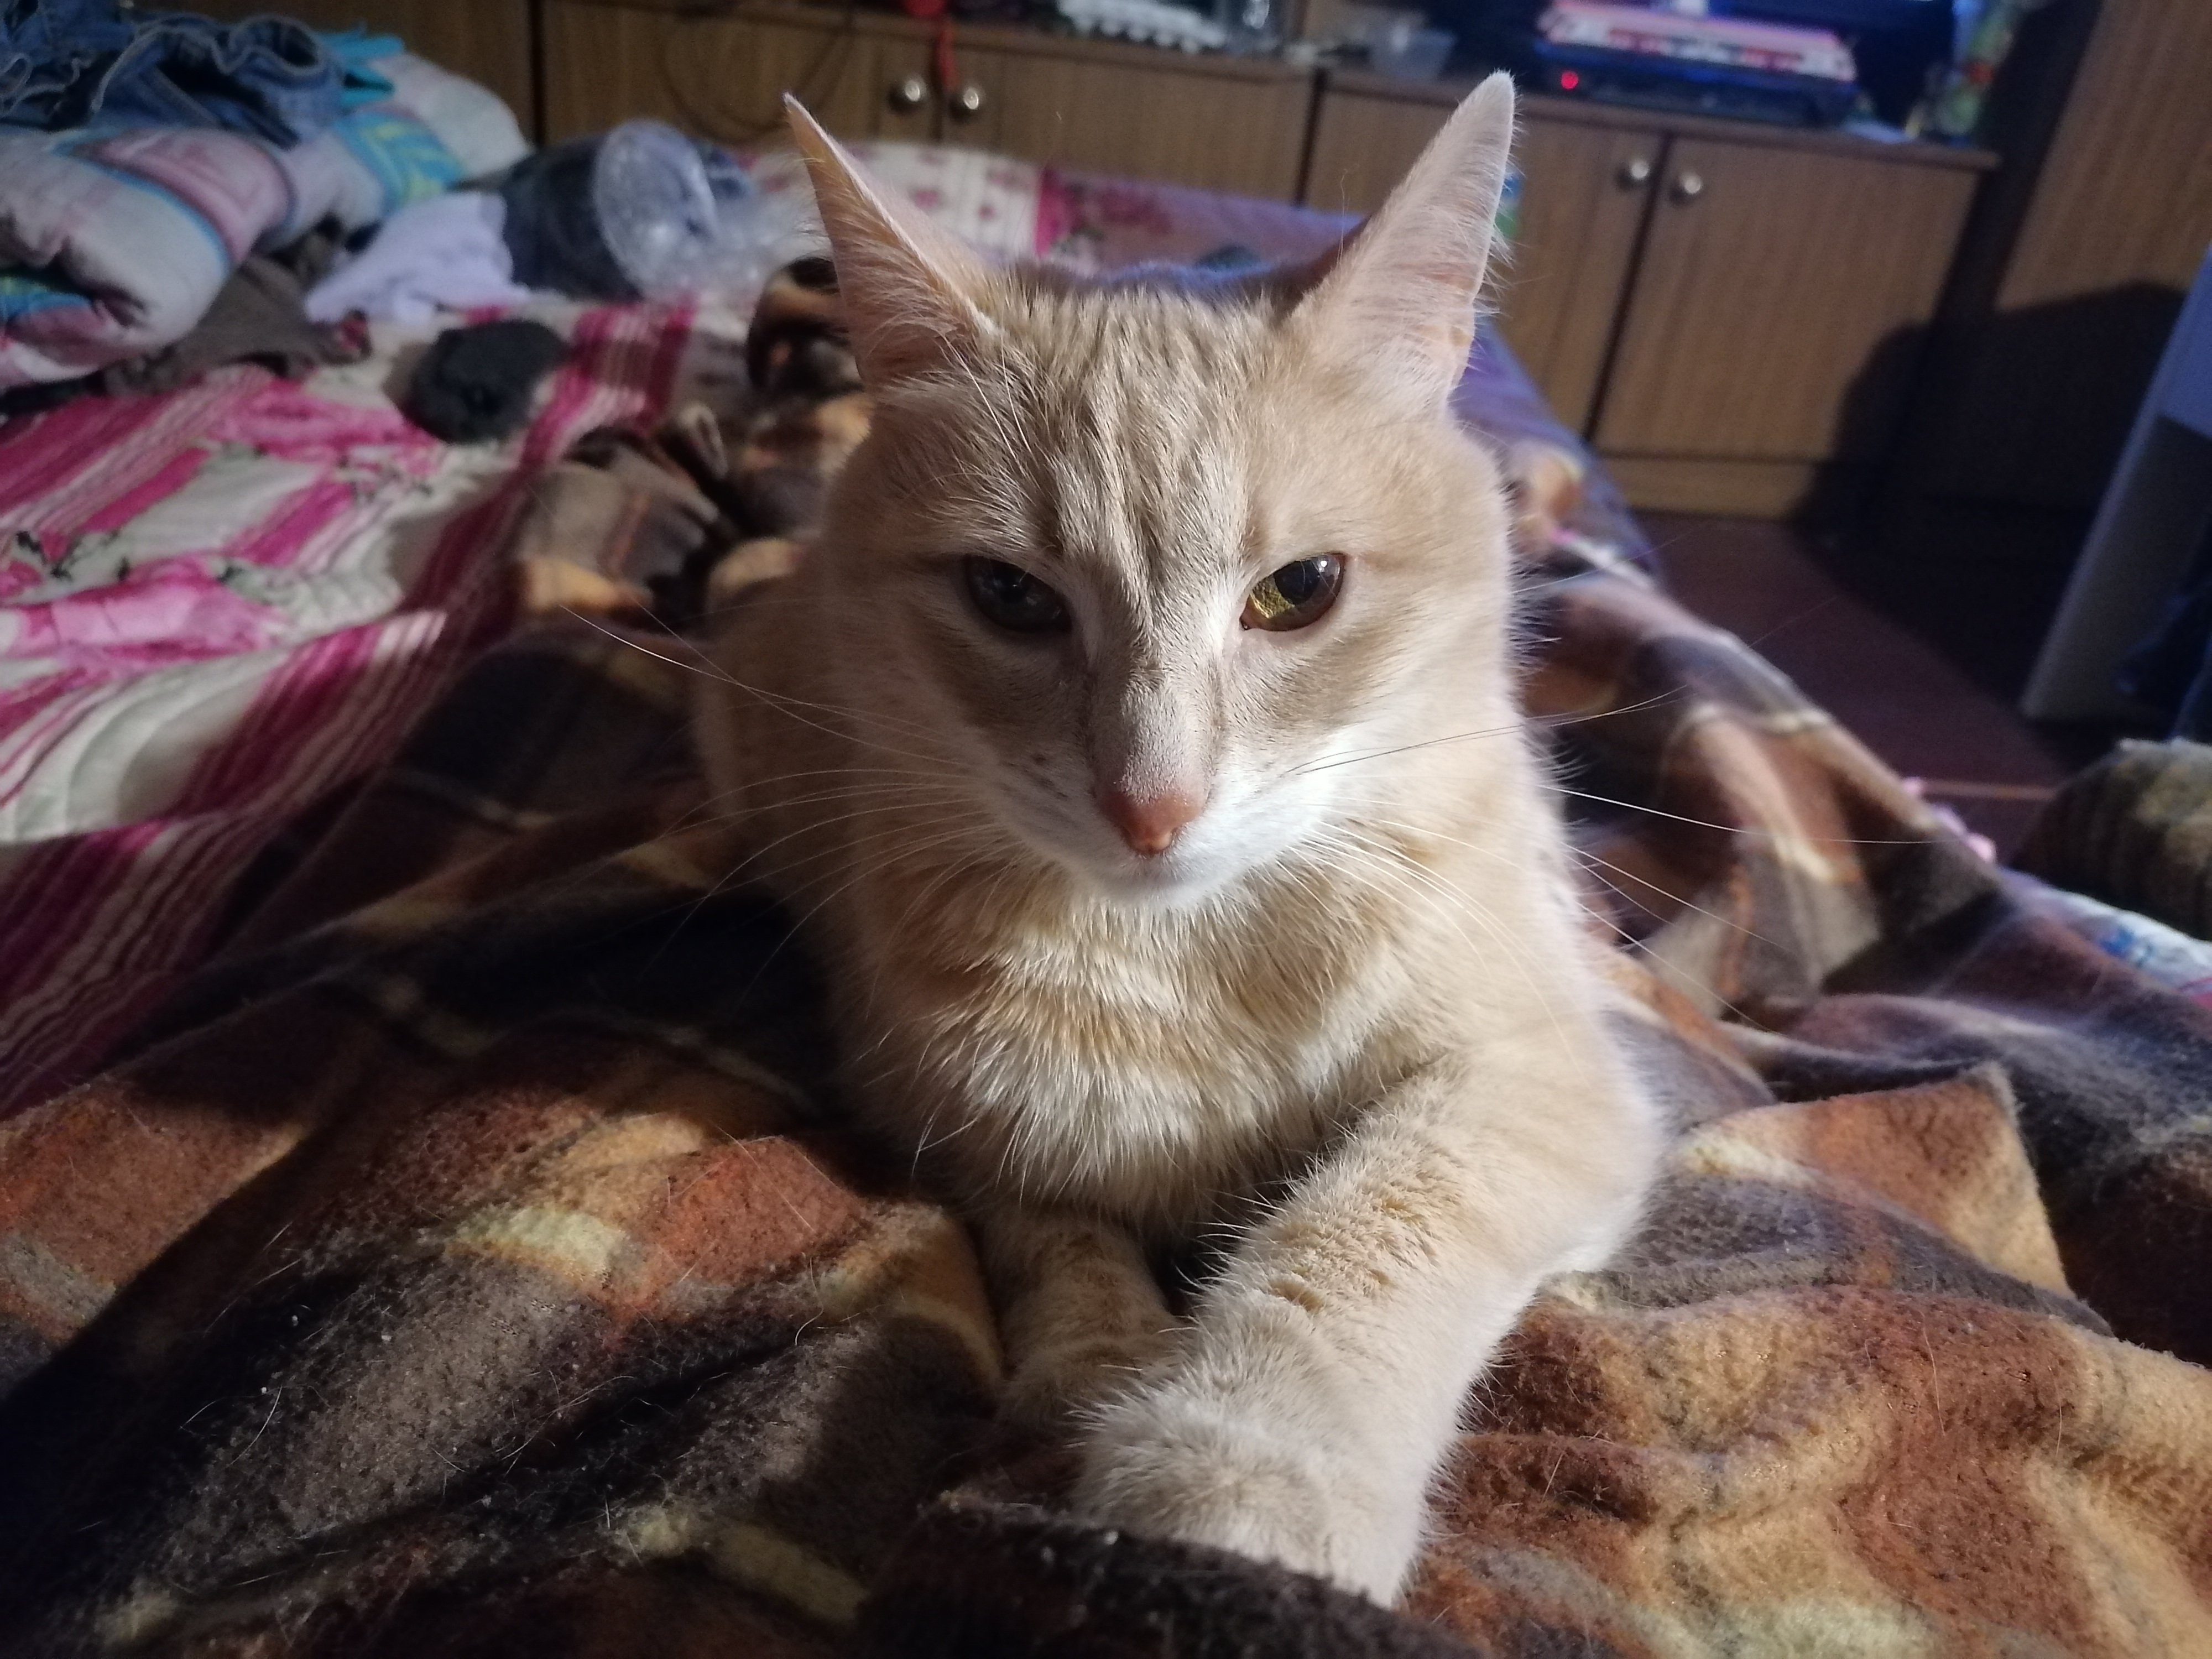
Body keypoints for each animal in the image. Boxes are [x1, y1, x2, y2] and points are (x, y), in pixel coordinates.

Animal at [697, 75, 1663, 1604]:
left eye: (1298, 589)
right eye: (1009, 597)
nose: (1150, 801)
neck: (1184, 963)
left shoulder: (1537, 1084)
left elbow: (1368, 1223)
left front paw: (1240, 1468)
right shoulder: (934, 1112)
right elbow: (1056, 1241)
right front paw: (1100, 1372)